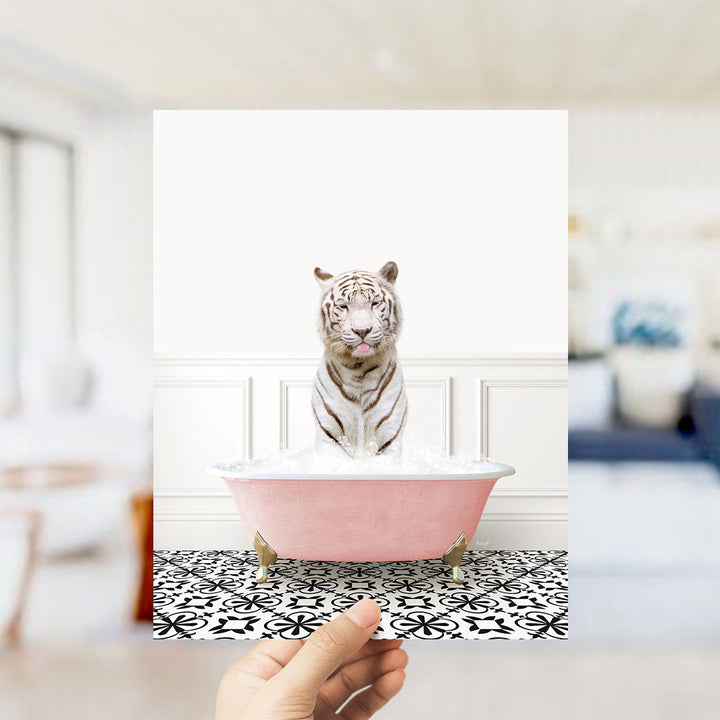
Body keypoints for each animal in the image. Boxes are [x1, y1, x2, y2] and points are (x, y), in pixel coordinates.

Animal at [311, 261, 408, 458]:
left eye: (375, 303)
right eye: (343, 306)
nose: (362, 331)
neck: (359, 369)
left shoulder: (389, 438)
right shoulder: (329, 435)